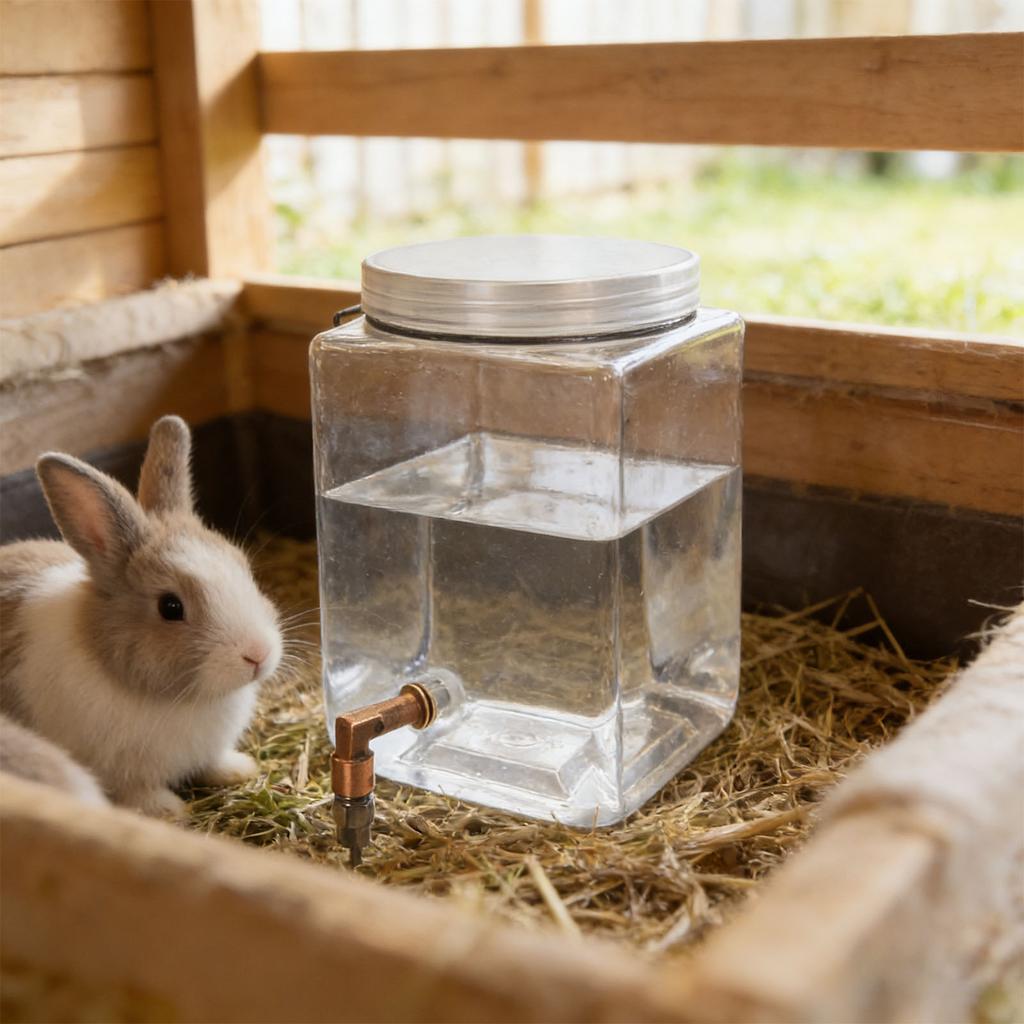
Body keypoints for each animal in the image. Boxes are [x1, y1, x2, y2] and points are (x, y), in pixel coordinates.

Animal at [0, 415, 282, 816]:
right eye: (171, 607)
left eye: (244, 569)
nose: (258, 655)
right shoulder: (120, 772)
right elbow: (138, 792)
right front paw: (167, 810)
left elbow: (213, 761)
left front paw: (238, 770)